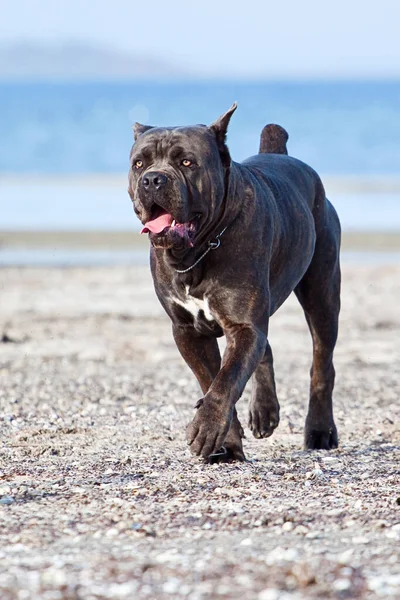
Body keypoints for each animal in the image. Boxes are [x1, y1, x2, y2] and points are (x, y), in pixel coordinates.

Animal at [128, 103, 340, 462]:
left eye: (187, 162)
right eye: (139, 163)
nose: (153, 179)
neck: (197, 252)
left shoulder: (243, 324)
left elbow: (226, 380)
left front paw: (207, 427)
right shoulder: (187, 331)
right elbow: (211, 378)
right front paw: (227, 442)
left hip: (322, 294)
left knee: (322, 364)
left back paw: (320, 430)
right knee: (266, 349)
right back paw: (265, 411)